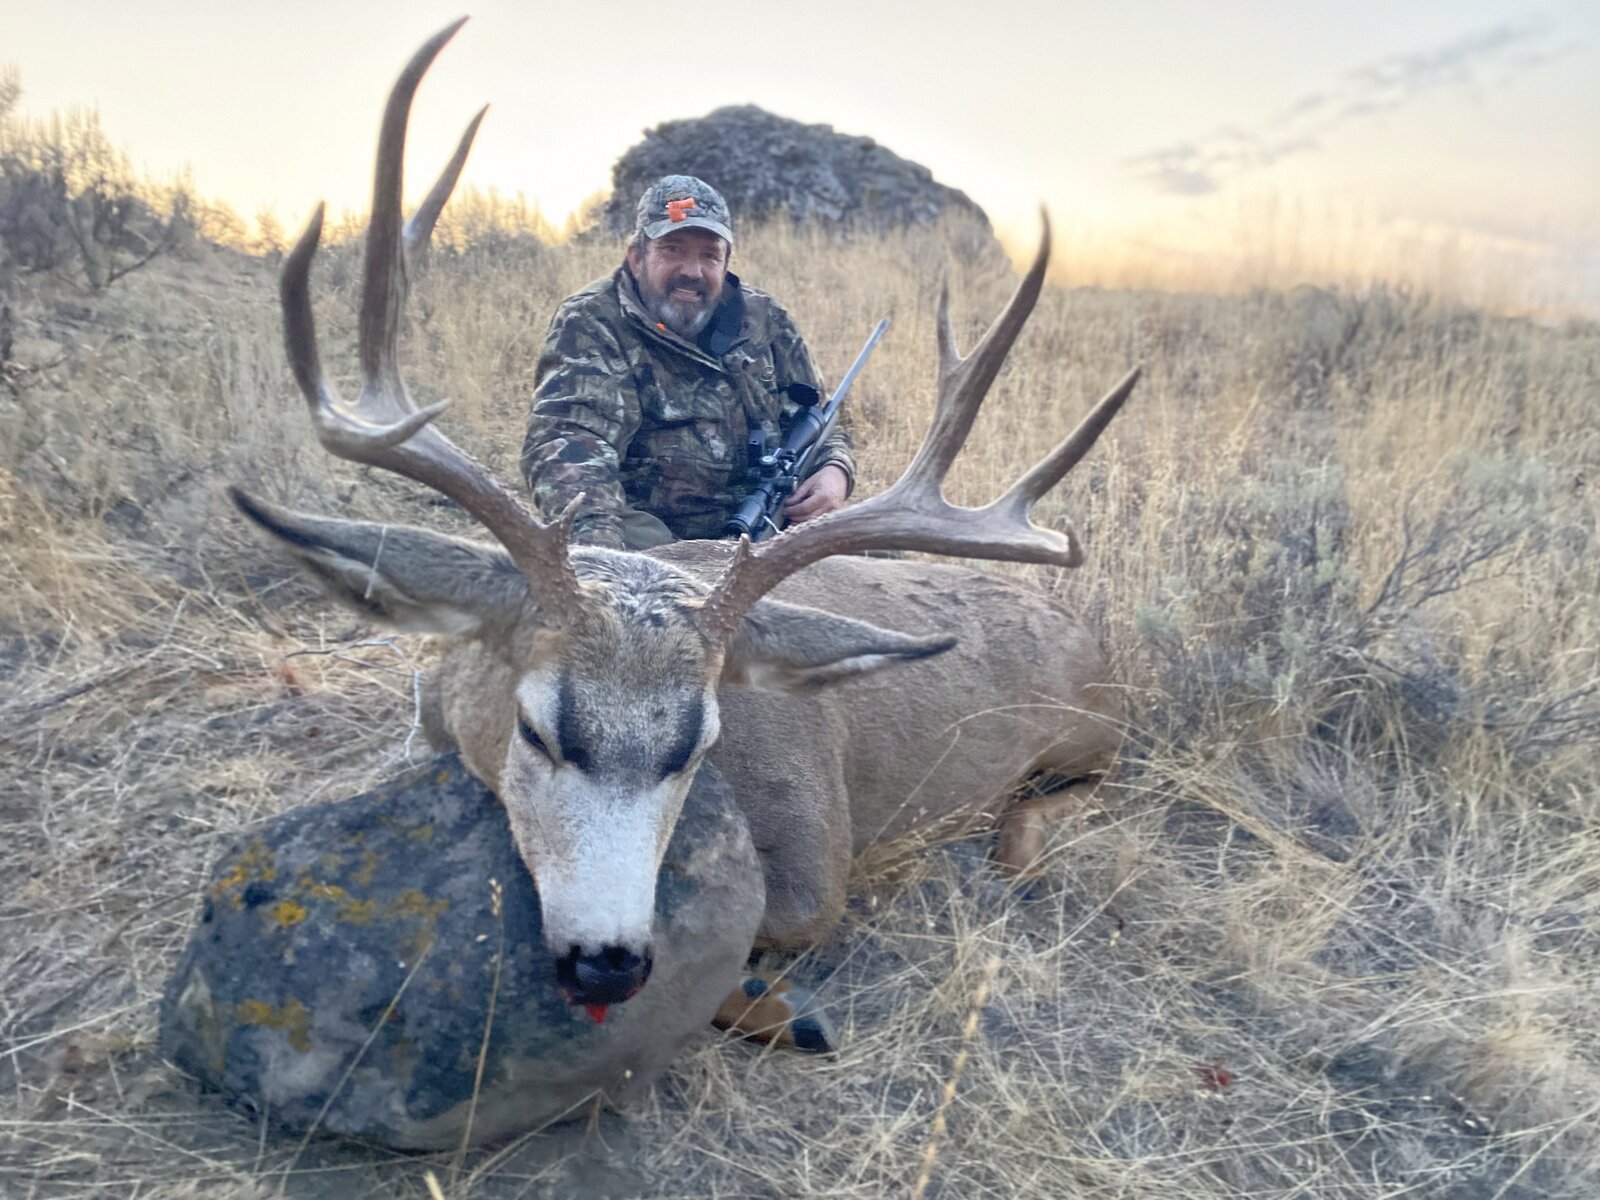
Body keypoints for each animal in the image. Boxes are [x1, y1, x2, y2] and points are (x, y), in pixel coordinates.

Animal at [231, 19, 1137, 1050]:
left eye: (701, 746)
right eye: (536, 728)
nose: (609, 962)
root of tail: (1095, 640)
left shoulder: (817, 850)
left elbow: (764, 943)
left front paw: (786, 1011)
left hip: (1093, 741)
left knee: (1049, 814)